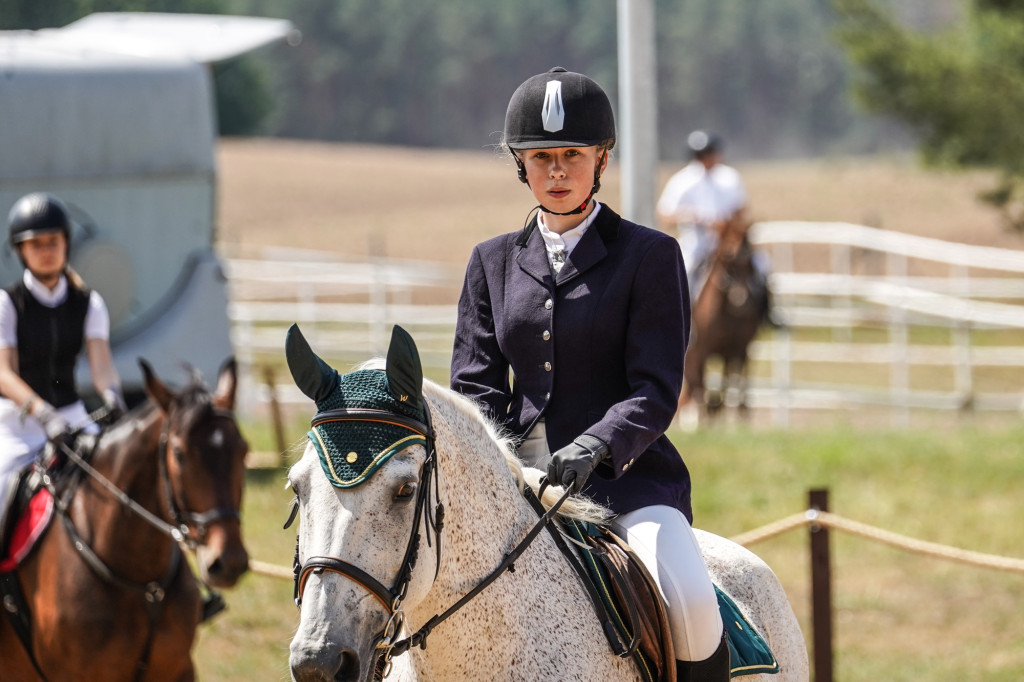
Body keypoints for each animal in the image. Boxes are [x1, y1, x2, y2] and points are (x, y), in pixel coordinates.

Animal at [679, 214, 770, 425]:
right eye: (728, 256)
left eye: (750, 260)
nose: (743, 300)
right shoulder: (701, 350)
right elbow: (701, 382)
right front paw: (705, 416)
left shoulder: (738, 348)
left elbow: (733, 381)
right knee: (696, 381)